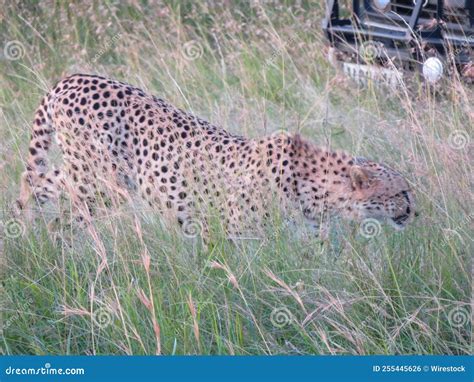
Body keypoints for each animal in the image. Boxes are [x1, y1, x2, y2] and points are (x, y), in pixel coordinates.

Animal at [15, 73, 414, 236]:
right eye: (401, 192)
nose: (414, 211)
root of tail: (71, 78)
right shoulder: (228, 228)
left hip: (91, 178)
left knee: (38, 178)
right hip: (98, 180)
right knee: (43, 185)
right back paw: (45, 236)